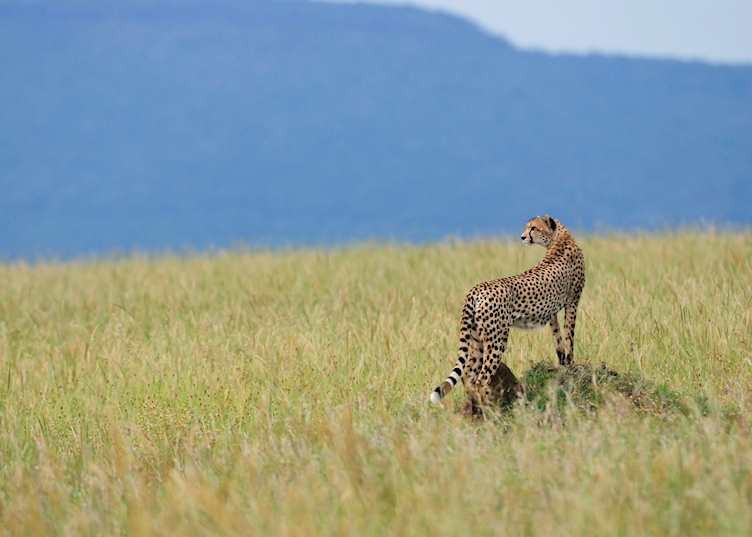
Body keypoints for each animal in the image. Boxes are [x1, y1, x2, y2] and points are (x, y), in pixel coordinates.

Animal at [429, 215, 585, 409]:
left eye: (533, 228)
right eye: (528, 227)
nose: (522, 237)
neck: (559, 239)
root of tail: (476, 288)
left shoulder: (553, 312)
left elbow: (558, 339)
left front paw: (563, 363)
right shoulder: (572, 301)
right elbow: (569, 336)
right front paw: (571, 365)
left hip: (476, 338)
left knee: (468, 375)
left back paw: (475, 405)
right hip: (497, 339)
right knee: (481, 378)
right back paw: (488, 407)